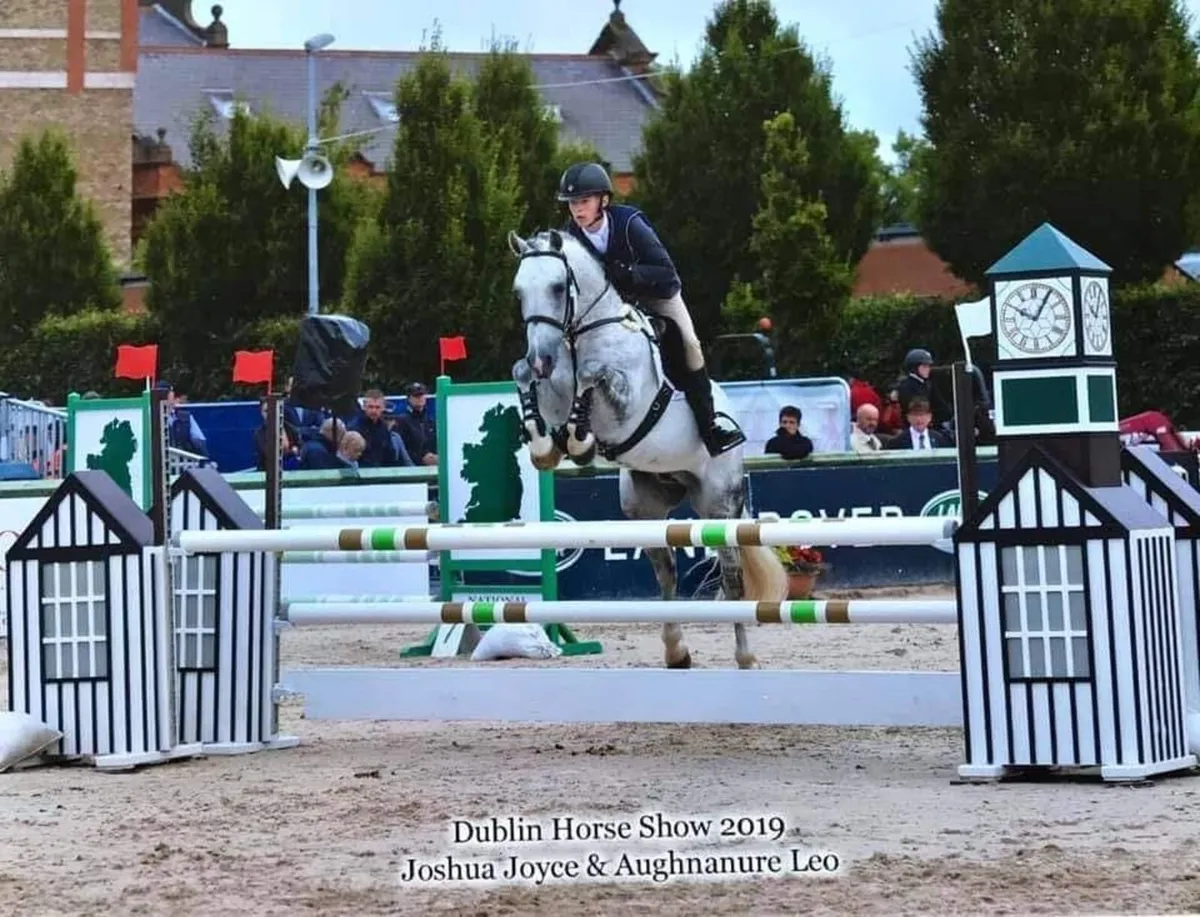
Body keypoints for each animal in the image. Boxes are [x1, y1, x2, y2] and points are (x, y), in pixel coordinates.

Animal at [507, 228, 789, 670]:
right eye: (519, 291)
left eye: (556, 287)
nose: (542, 359)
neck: (583, 333)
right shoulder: (550, 386)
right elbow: (523, 378)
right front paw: (545, 446)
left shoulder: (625, 405)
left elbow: (593, 376)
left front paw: (579, 441)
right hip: (645, 503)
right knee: (666, 570)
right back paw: (676, 651)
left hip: (718, 502)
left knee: (731, 576)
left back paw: (745, 657)